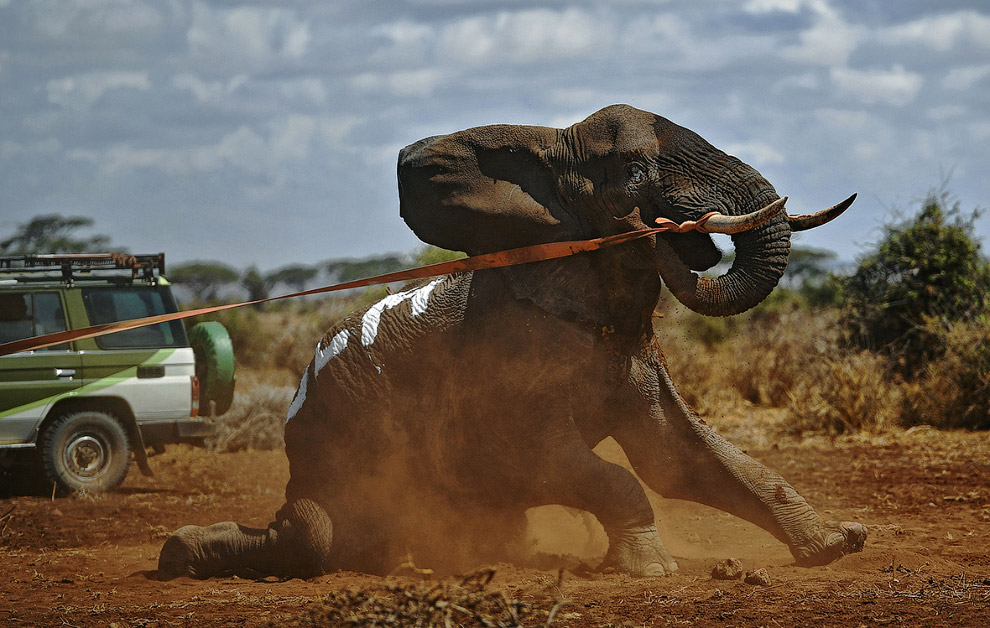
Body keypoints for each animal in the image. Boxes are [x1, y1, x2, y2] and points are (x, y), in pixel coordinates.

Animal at [159, 103, 864, 580]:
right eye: (634, 172)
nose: (665, 228)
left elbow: (684, 459)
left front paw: (839, 543)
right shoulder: (506, 374)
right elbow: (582, 468)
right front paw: (651, 567)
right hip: (330, 451)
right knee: (313, 533)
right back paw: (177, 552)